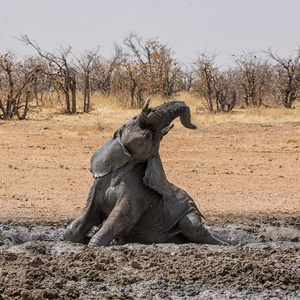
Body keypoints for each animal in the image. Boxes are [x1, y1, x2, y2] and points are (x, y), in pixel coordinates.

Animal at [65, 98, 225, 246]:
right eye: (135, 118)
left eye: (160, 137)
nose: (195, 126)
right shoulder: (99, 184)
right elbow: (81, 222)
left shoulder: (138, 194)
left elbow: (119, 220)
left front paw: (93, 244)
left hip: (191, 214)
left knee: (190, 226)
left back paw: (226, 243)